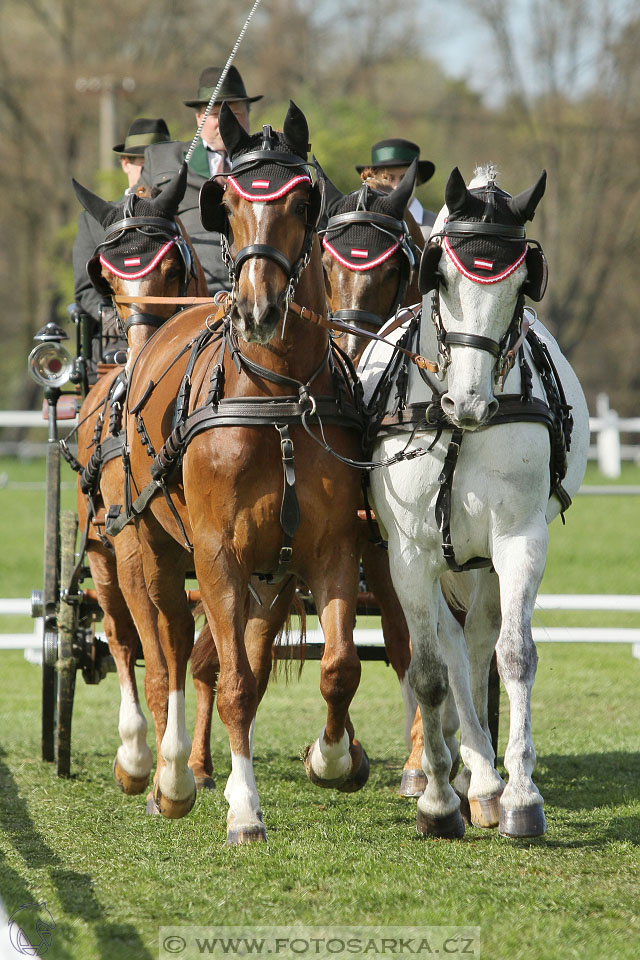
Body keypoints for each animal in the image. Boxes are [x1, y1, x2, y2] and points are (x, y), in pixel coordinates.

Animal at [118, 101, 372, 844]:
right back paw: (168, 775)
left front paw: (332, 758)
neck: (278, 400)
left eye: (302, 202)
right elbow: (228, 682)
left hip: (270, 575)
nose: (259, 309)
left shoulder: (330, 548)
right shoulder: (217, 554)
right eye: (226, 205)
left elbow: (337, 667)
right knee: (169, 651)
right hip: (149, 546)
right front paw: (243, 809)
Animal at [360, 167, 592, 840]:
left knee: (481, 642)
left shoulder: (517, 540)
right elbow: (430, 672)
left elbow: (515, 656)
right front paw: (438, 801)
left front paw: (519, 794)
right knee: (452, 651)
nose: (468, 402)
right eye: (440, 277)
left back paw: (485, 777)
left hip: (481, 562)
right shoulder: (408, 557)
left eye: (519, 284)